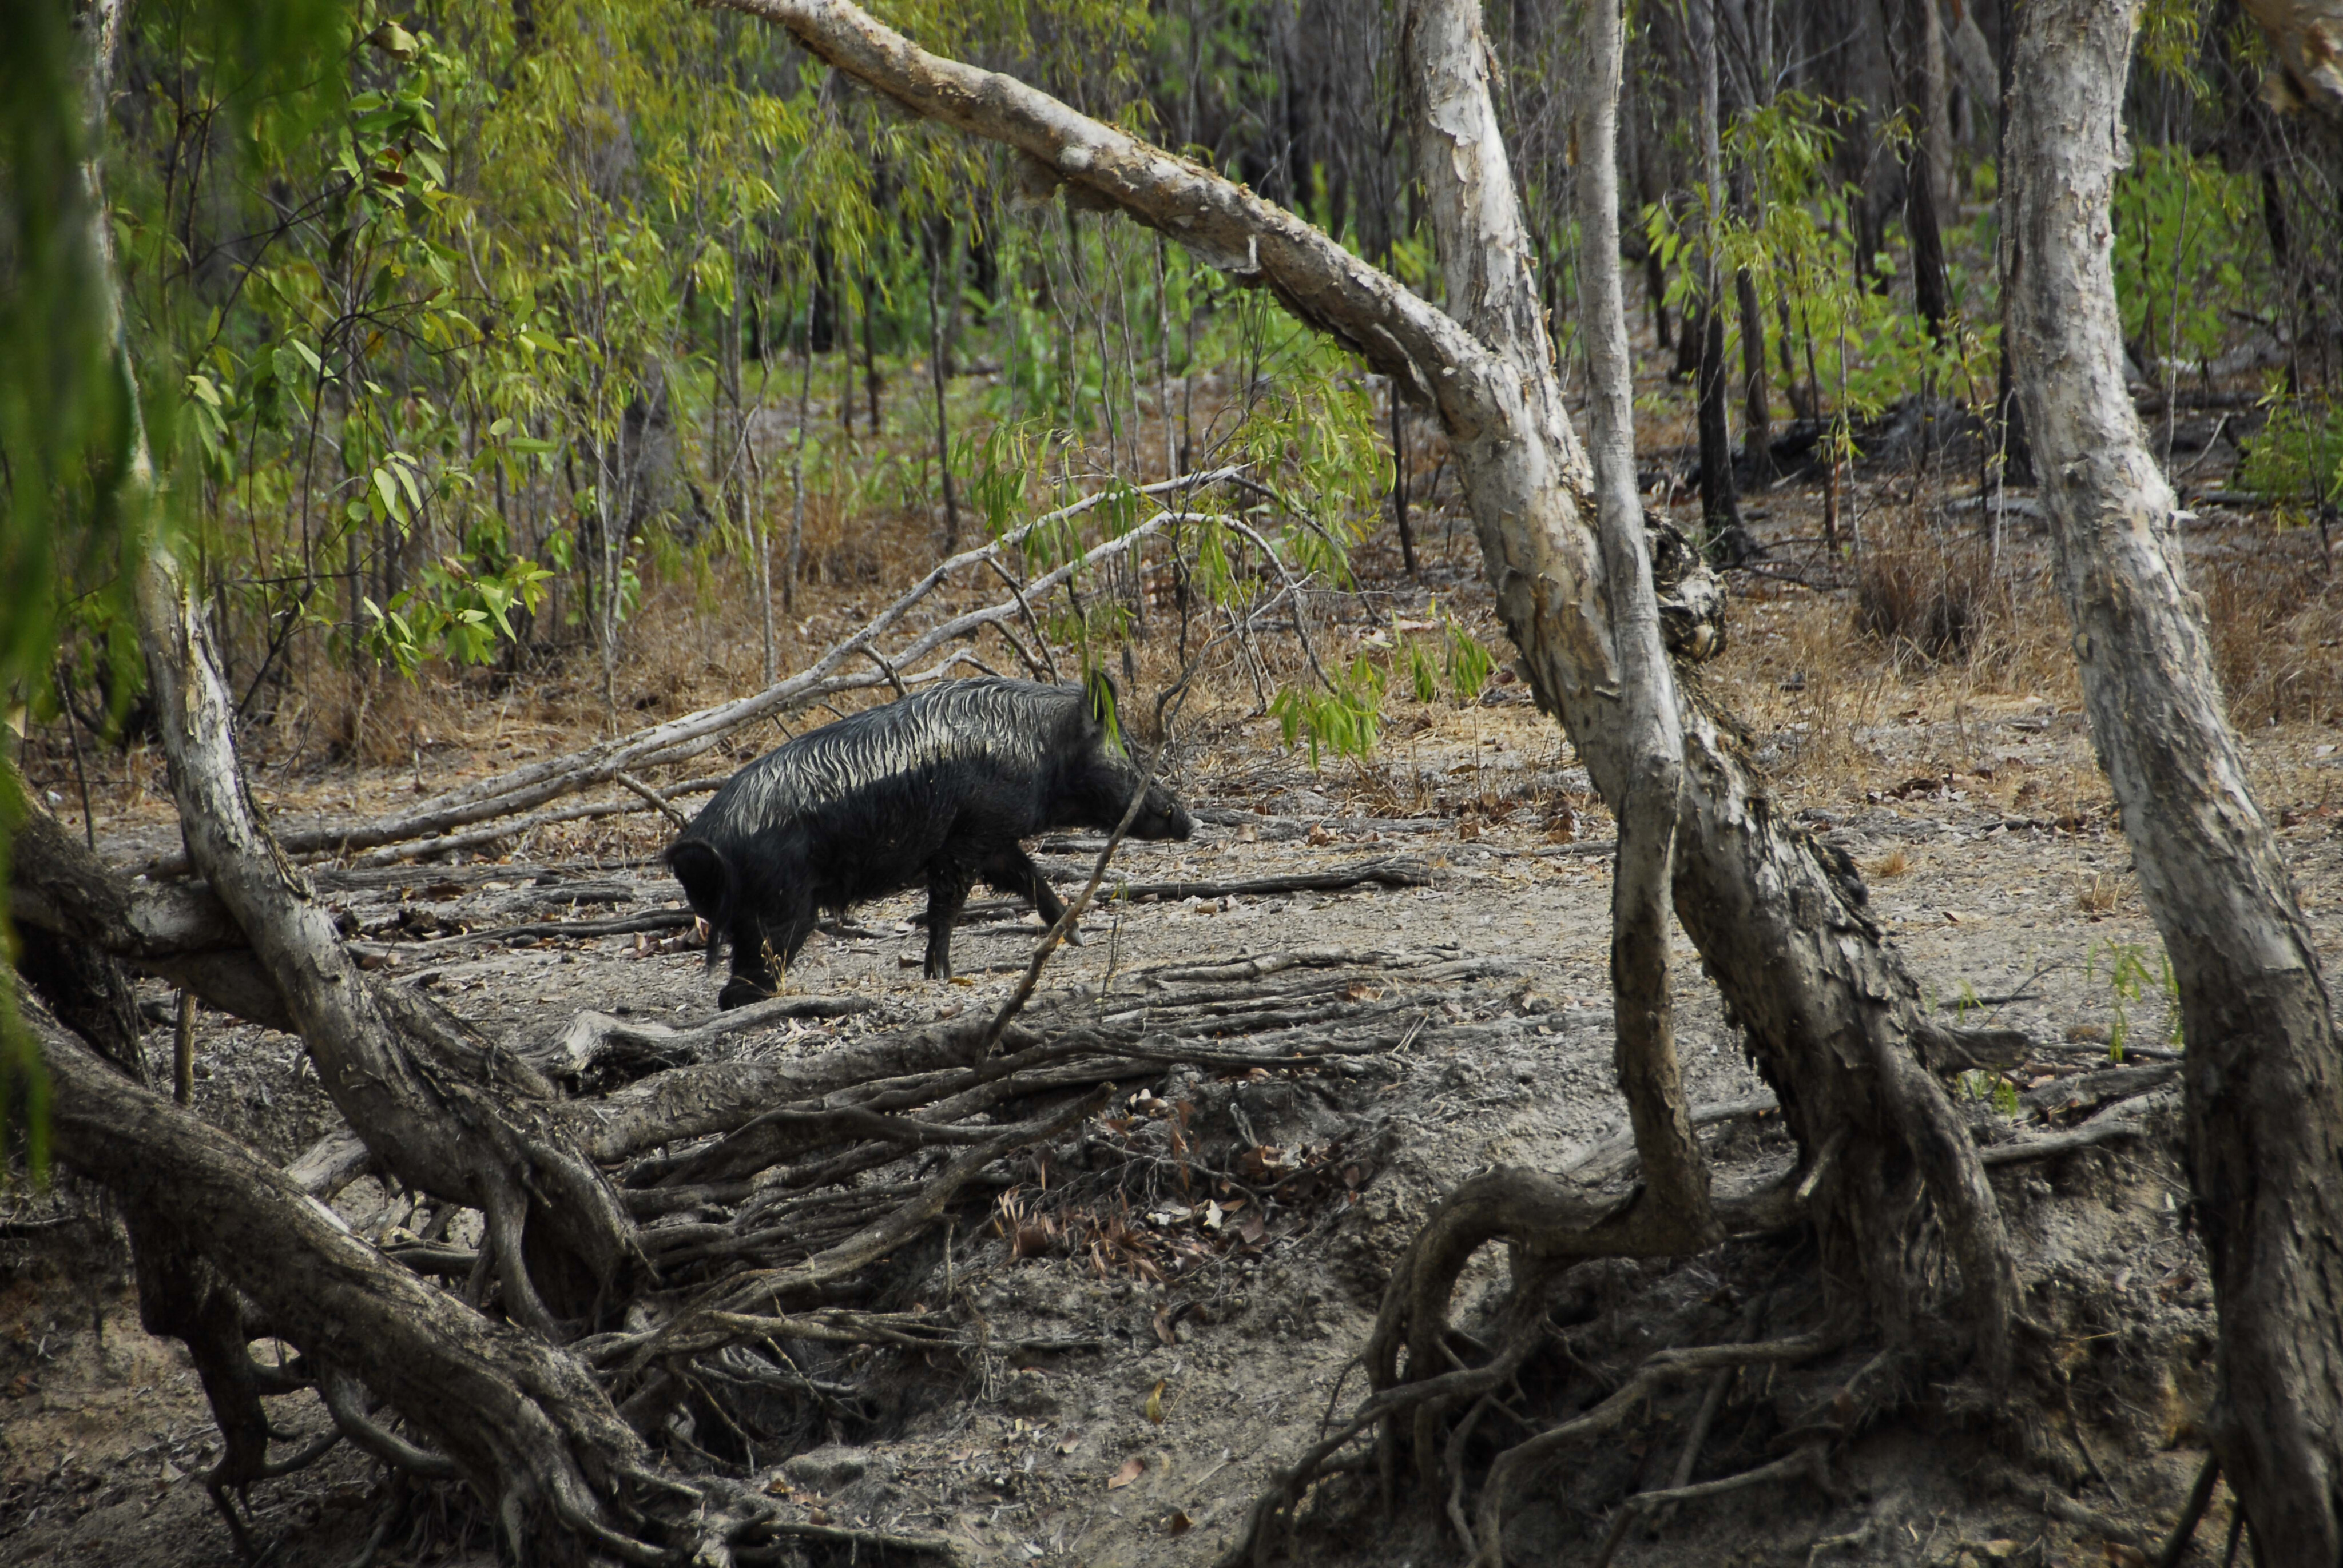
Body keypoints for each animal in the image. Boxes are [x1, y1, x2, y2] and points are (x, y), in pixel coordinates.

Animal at [674, 675, 1190, 1003]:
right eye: (1130, 750)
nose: (1187, 820)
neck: (1040, 747)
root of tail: (700, 845)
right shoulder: (966, 840)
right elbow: (948, 905)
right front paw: (943, 976)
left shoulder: (993, 838)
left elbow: (1028, 877)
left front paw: (1076, 935)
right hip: (781, 908)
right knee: (739, 987)